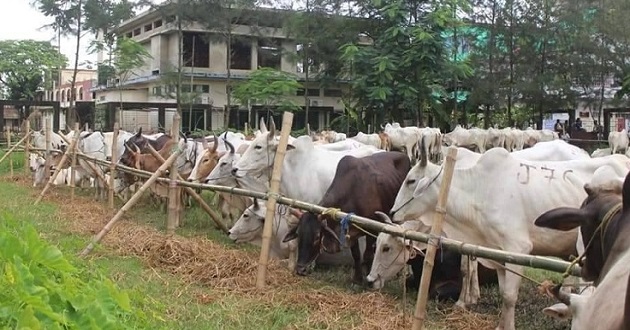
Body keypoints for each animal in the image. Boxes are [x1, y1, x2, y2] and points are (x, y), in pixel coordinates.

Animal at [284, 151, 412, 284]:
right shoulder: (351, 230)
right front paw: (357, 279)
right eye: (298, 234)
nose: (300, 269)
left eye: (317, 236)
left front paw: (368, 278)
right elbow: (356, 255)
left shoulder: (371, 229)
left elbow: (368, 255)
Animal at [390, 145, 630, 330]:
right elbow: (504, 292)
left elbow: (509, 296)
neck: (479, 190)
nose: (392, 213)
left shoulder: (518, 249)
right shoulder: (498, 253)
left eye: (411, 180)